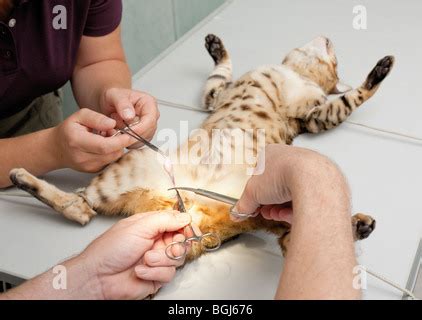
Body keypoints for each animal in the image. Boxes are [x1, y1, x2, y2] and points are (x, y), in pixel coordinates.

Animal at [8, 35, 394, 260]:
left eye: (336, 62)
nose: (329, 38)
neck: (292, 71)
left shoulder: (314, 115)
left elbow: (351, 98)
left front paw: (381, 70)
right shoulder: (217, 94)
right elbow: (220, 72)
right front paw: (215, 46)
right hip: (130, 172)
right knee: (80, 207)